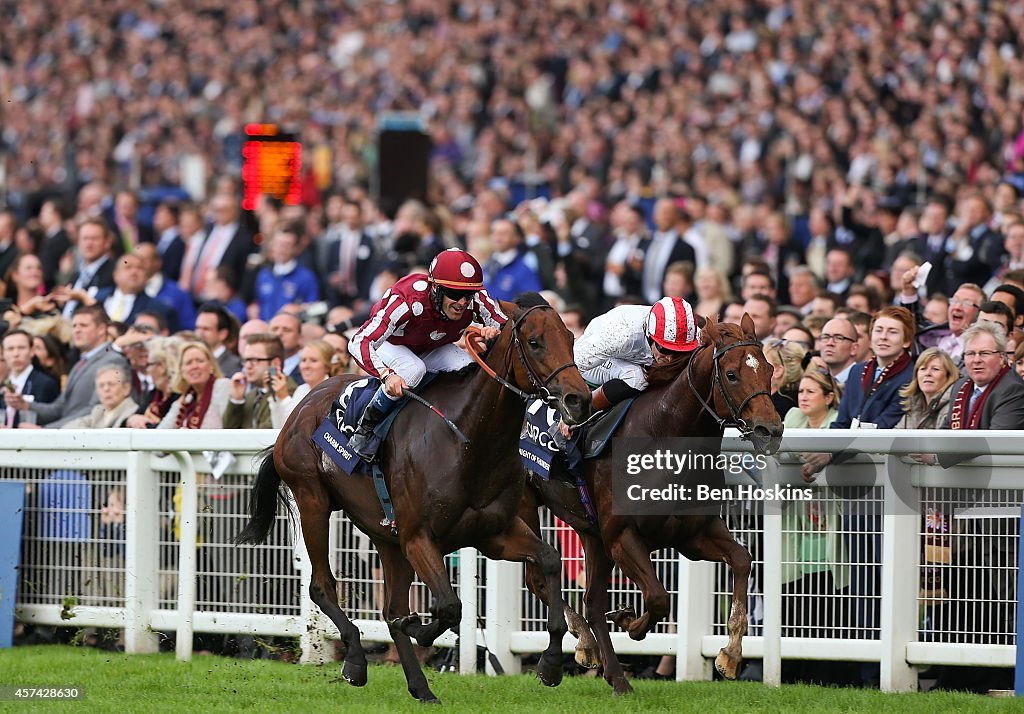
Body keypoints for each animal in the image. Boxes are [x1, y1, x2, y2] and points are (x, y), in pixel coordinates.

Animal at [237, 292, 593, 700]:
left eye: (570, 337)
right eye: (534, 342)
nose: (579, 399)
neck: (469, 440)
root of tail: (302, 405)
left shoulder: (494, 533)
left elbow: (548, 560)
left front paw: (551, 665)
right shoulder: (419, 537)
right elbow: (449, 606)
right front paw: (419, 628)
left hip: (386, 538)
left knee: (390, 608)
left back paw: (421, 687)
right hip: (313, 500)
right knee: (322, 587)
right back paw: (356, 661)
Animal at [520, 315, 782, 692]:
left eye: (770, 370)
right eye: (732, 374)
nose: (770, 431)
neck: (663, 435)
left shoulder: (693, 535)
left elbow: (743, 559)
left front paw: (730, 655)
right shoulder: (622, 537)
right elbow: (658, 597)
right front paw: (629, 621)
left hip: (592, 534)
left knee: (592, 601)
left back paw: (614, 675)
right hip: (523, 505)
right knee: (538, 580)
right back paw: (584, 643)